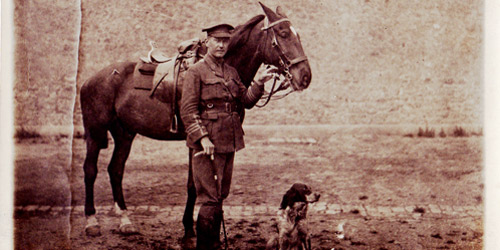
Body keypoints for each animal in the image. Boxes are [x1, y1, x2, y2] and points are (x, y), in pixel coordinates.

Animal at [80, 3, 310, 238]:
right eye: (283, 34)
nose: (305, 76)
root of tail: (91, 80)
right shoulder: (196, 140)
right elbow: (194, 185)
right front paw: (190, 227)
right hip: (95, 133)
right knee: (90, 170)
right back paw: (91, 221)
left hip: (125, 134)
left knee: (115, 170)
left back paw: (125, 221)